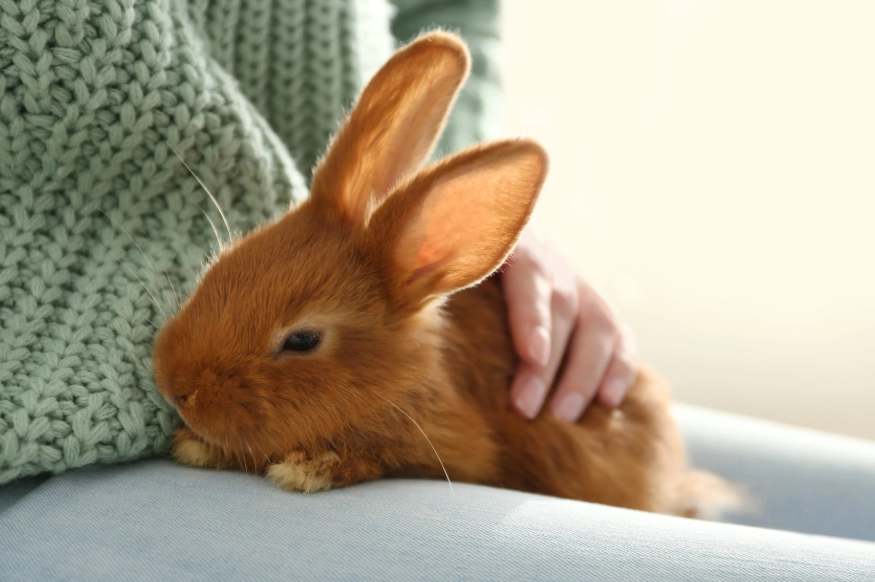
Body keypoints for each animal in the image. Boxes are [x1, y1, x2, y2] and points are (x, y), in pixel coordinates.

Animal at [153, 31, 742, 518]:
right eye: (220, 265)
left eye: (302, 340)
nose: (173, 386)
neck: (404, 376)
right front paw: (195, 443)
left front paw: (305, 469)